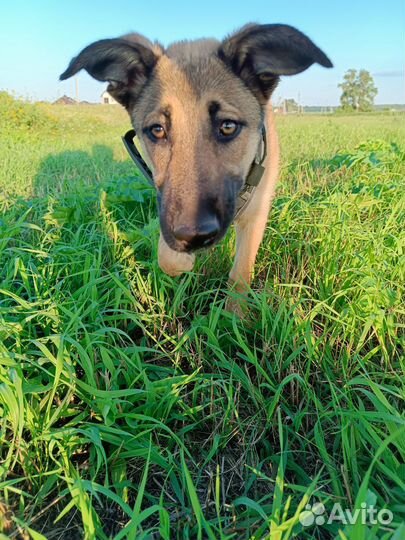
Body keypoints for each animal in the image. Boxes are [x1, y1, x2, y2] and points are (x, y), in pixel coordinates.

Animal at [60, 24, 332, 308]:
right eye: (157, 130)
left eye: (228, 126)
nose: (193, 237)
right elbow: (167, 258)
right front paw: (182, 262)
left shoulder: (256, 213)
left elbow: (240, 275)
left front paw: (232, 316)